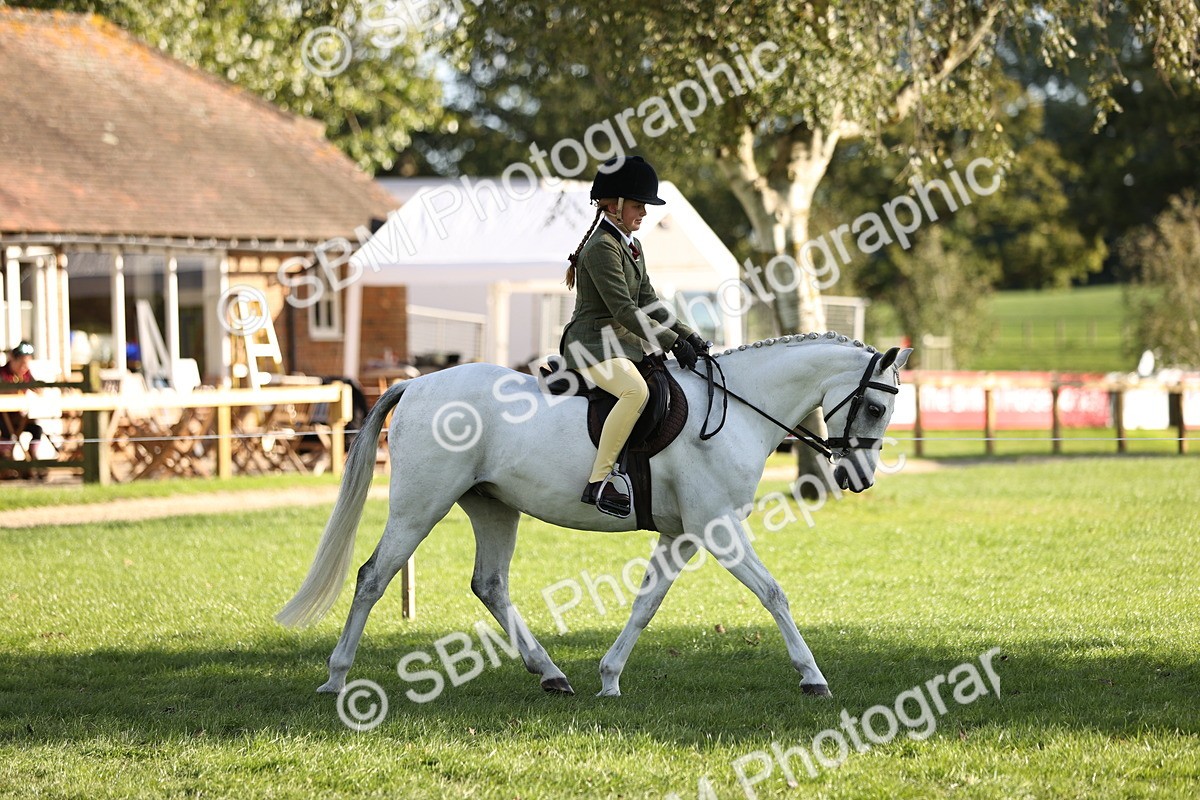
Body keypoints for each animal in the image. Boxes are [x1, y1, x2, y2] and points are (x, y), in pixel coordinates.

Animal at [276, 333, 911, 698]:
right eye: (875, 408)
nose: (858, 479)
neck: (736, 411)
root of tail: (417, 383)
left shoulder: (682, 536)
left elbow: (646, 604)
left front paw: (608, 677)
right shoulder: (719, 529)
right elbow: (774, 592)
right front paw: (813, 677)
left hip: (492, 506)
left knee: (490, 584)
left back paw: (551, 674)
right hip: (419, 505)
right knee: (373, 577)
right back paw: (336, 677)